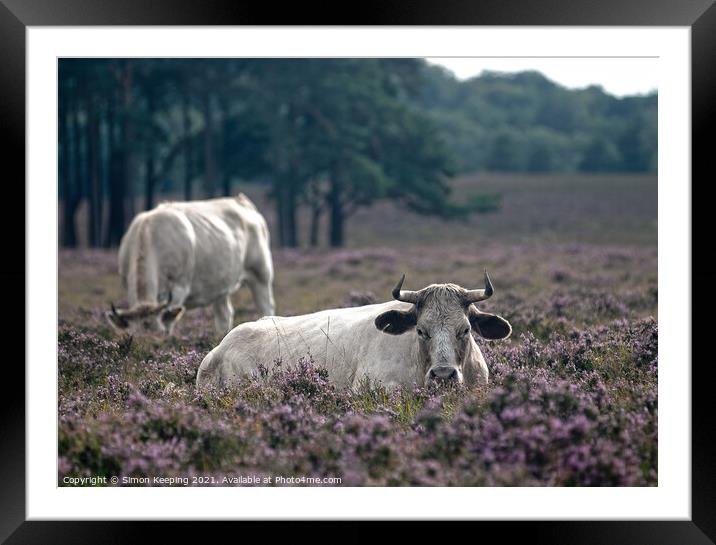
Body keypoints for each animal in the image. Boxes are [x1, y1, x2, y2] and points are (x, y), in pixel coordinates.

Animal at [105, 191, 274, 336]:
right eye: (132, 336)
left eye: (160, 333)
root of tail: (240, 200)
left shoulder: (178, 289)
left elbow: (170, 322)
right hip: (221, 285)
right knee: (224, 315)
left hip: (261, 275)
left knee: (266, 307)